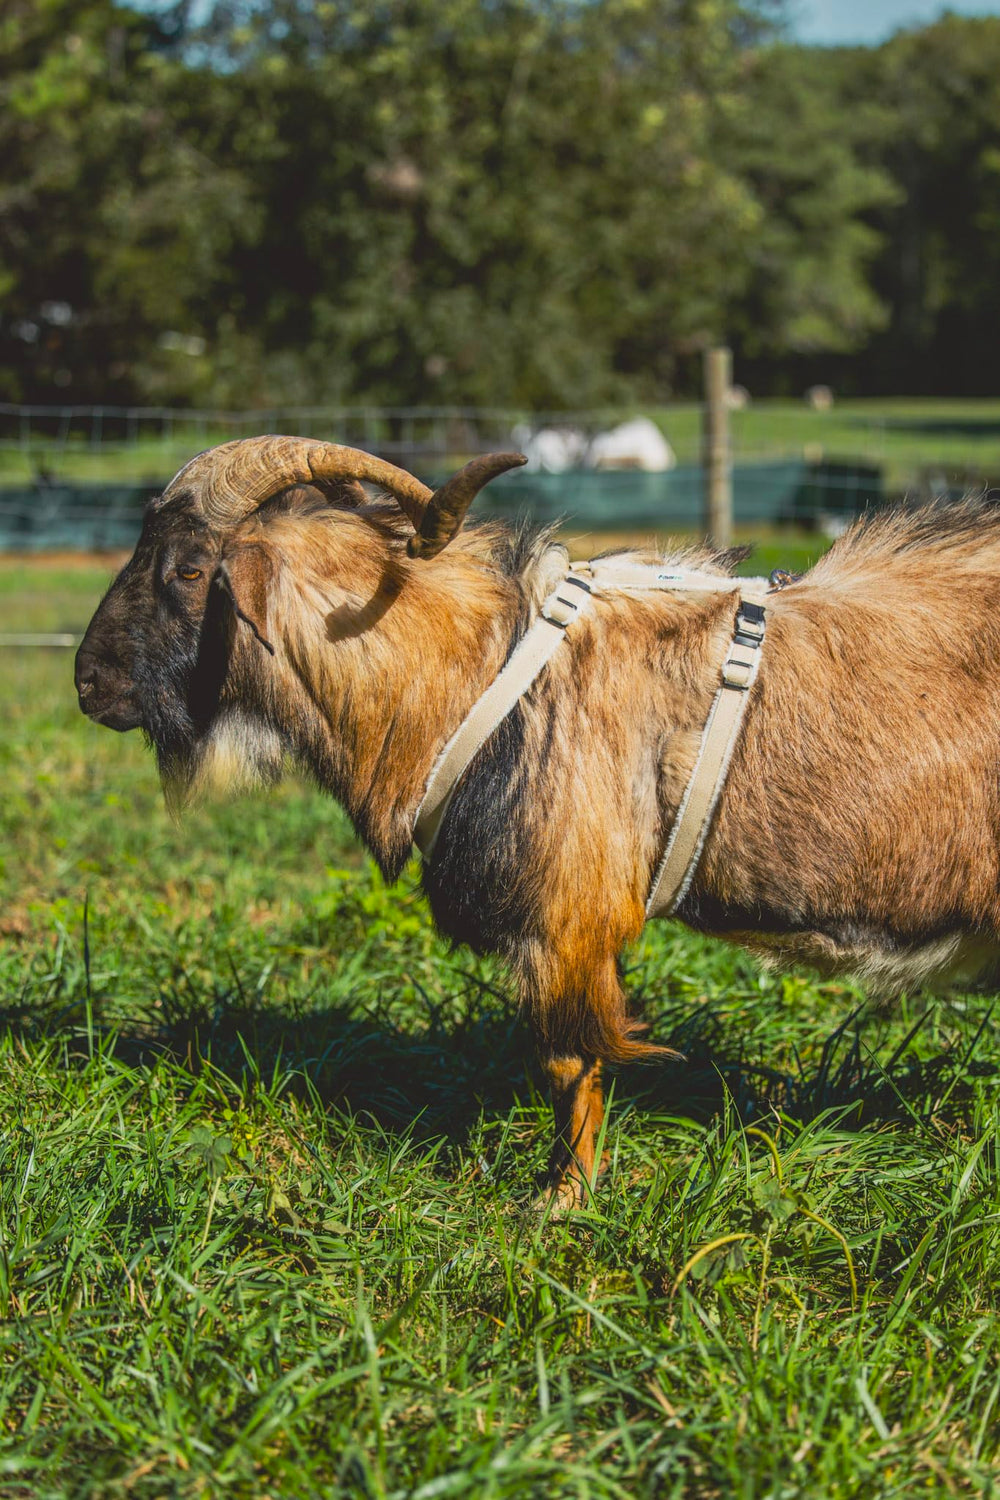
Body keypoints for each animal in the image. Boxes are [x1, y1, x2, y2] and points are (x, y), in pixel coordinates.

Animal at [75, 437, 1000, 1205]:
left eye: (188, 570)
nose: (89, 684)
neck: (470, 673)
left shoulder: (566, 916)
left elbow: (569, 1062)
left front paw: (561, 1199)